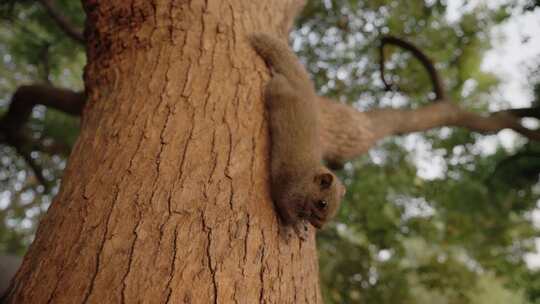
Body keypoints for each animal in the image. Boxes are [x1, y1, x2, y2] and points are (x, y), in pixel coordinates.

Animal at [250, 32, 346, 238]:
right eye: (322, 203)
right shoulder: (287, 193)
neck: (306, 179)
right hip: (276, 90)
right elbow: (286, 213)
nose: (319, 227)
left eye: (336, 210)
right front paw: (291, 228)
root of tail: (301, 83)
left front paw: (302, 225)